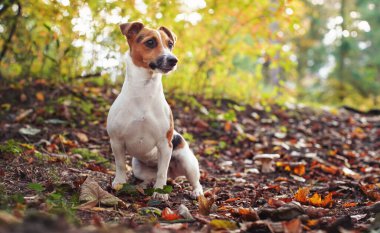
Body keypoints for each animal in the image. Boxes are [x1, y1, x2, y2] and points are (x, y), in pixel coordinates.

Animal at [107, 21, 203, 200]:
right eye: (150, 42)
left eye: (170, 44)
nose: (173, 60)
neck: (144, 90)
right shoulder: (116, 141)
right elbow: (120, 165)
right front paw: (119, 182)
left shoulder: (165, 145)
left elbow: (161, 172)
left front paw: (160, 192)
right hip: (138, 167)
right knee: (149, 177)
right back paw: (143, 185)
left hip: (188, 162)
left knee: (193, 180)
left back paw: (196, 192)